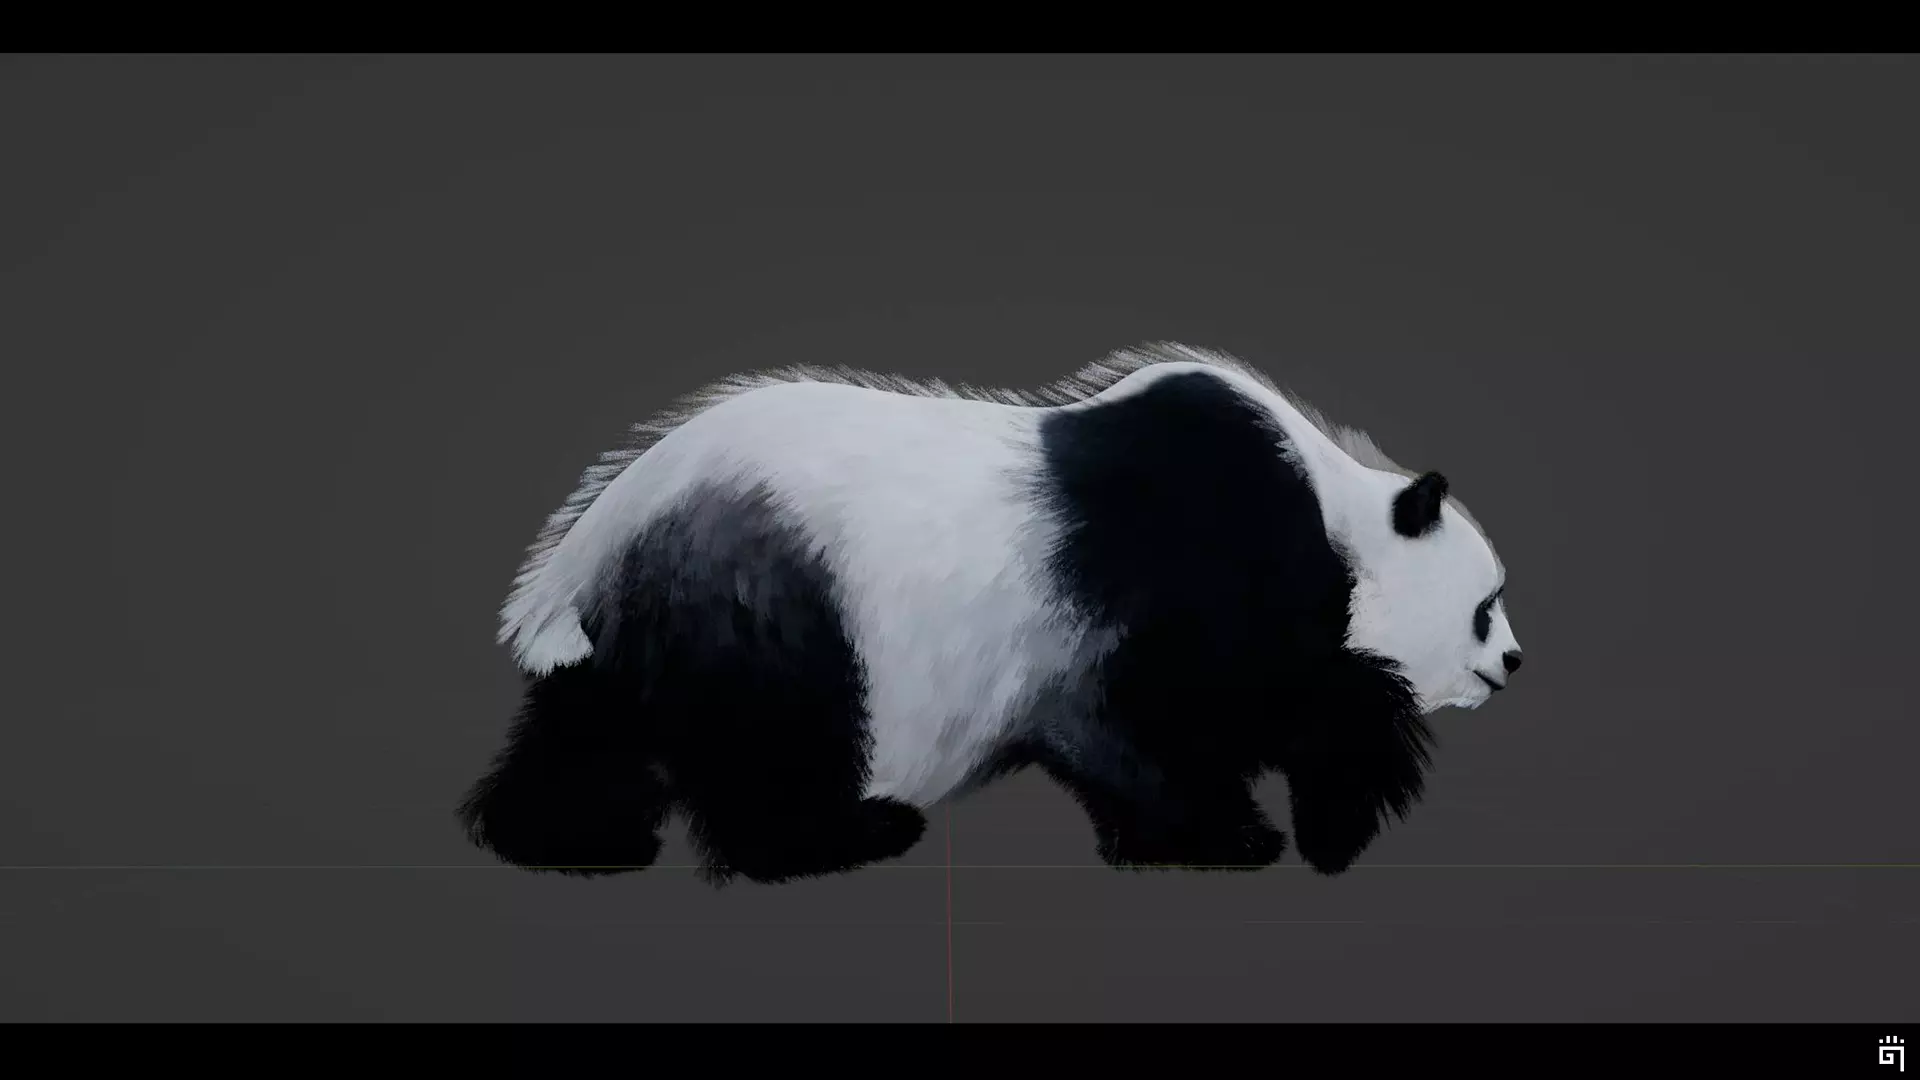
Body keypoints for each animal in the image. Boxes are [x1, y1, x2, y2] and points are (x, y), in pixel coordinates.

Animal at [457, 342, 1524, 886]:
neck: (1336, 512)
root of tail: (592, 536)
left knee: (595, 731)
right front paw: (1251, 836)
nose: (1513, 664)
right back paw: (851, 833)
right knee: (774, 738)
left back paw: (569, 840)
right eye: (1486, 606)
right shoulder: (1191, 559)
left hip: (649, 626)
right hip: (768, 592)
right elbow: (1147, 714)